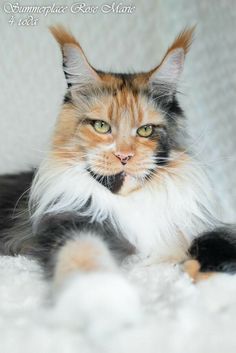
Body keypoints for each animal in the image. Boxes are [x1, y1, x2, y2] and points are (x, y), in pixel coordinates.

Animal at [0, 26, 236, 332]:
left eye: (145, 130)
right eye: (102, 126)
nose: (124, 156)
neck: (132, 201)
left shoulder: (194, 227)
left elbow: (217, 245)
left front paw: (219, 288)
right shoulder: (72, 222)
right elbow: (85, 253)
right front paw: (102, 303)